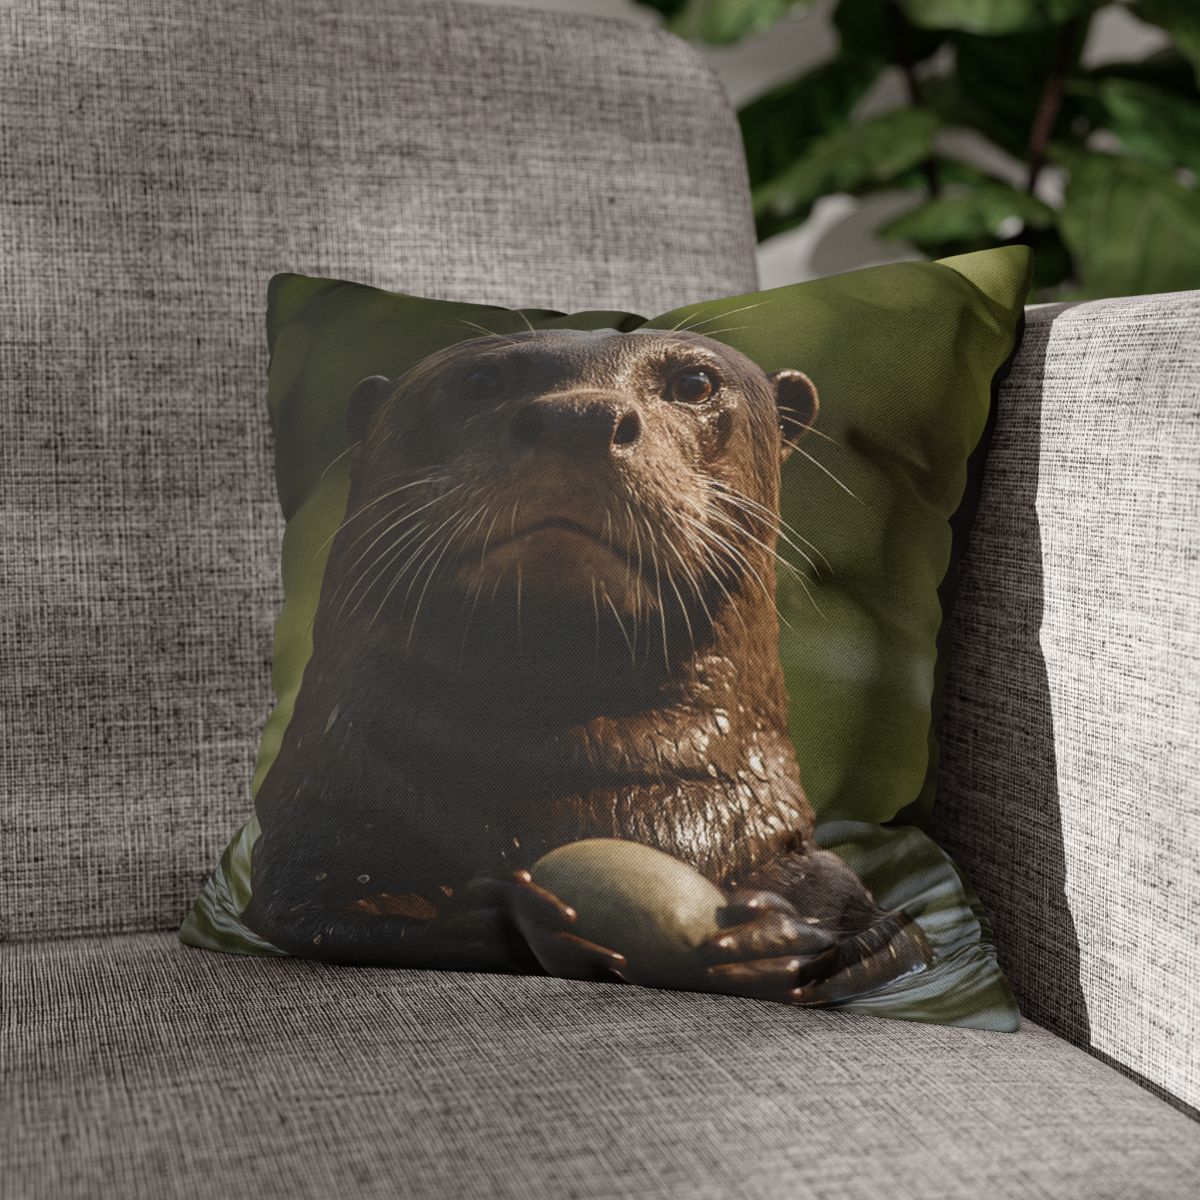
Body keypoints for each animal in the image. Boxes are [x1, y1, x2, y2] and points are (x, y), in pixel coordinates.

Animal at [243, 328, 932, 1004]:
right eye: (481, 381)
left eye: (694, 383)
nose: (579, 417)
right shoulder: (320, 825)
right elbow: (318, 911)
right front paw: (499, 917)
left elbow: (882, 934)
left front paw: (772, 939)